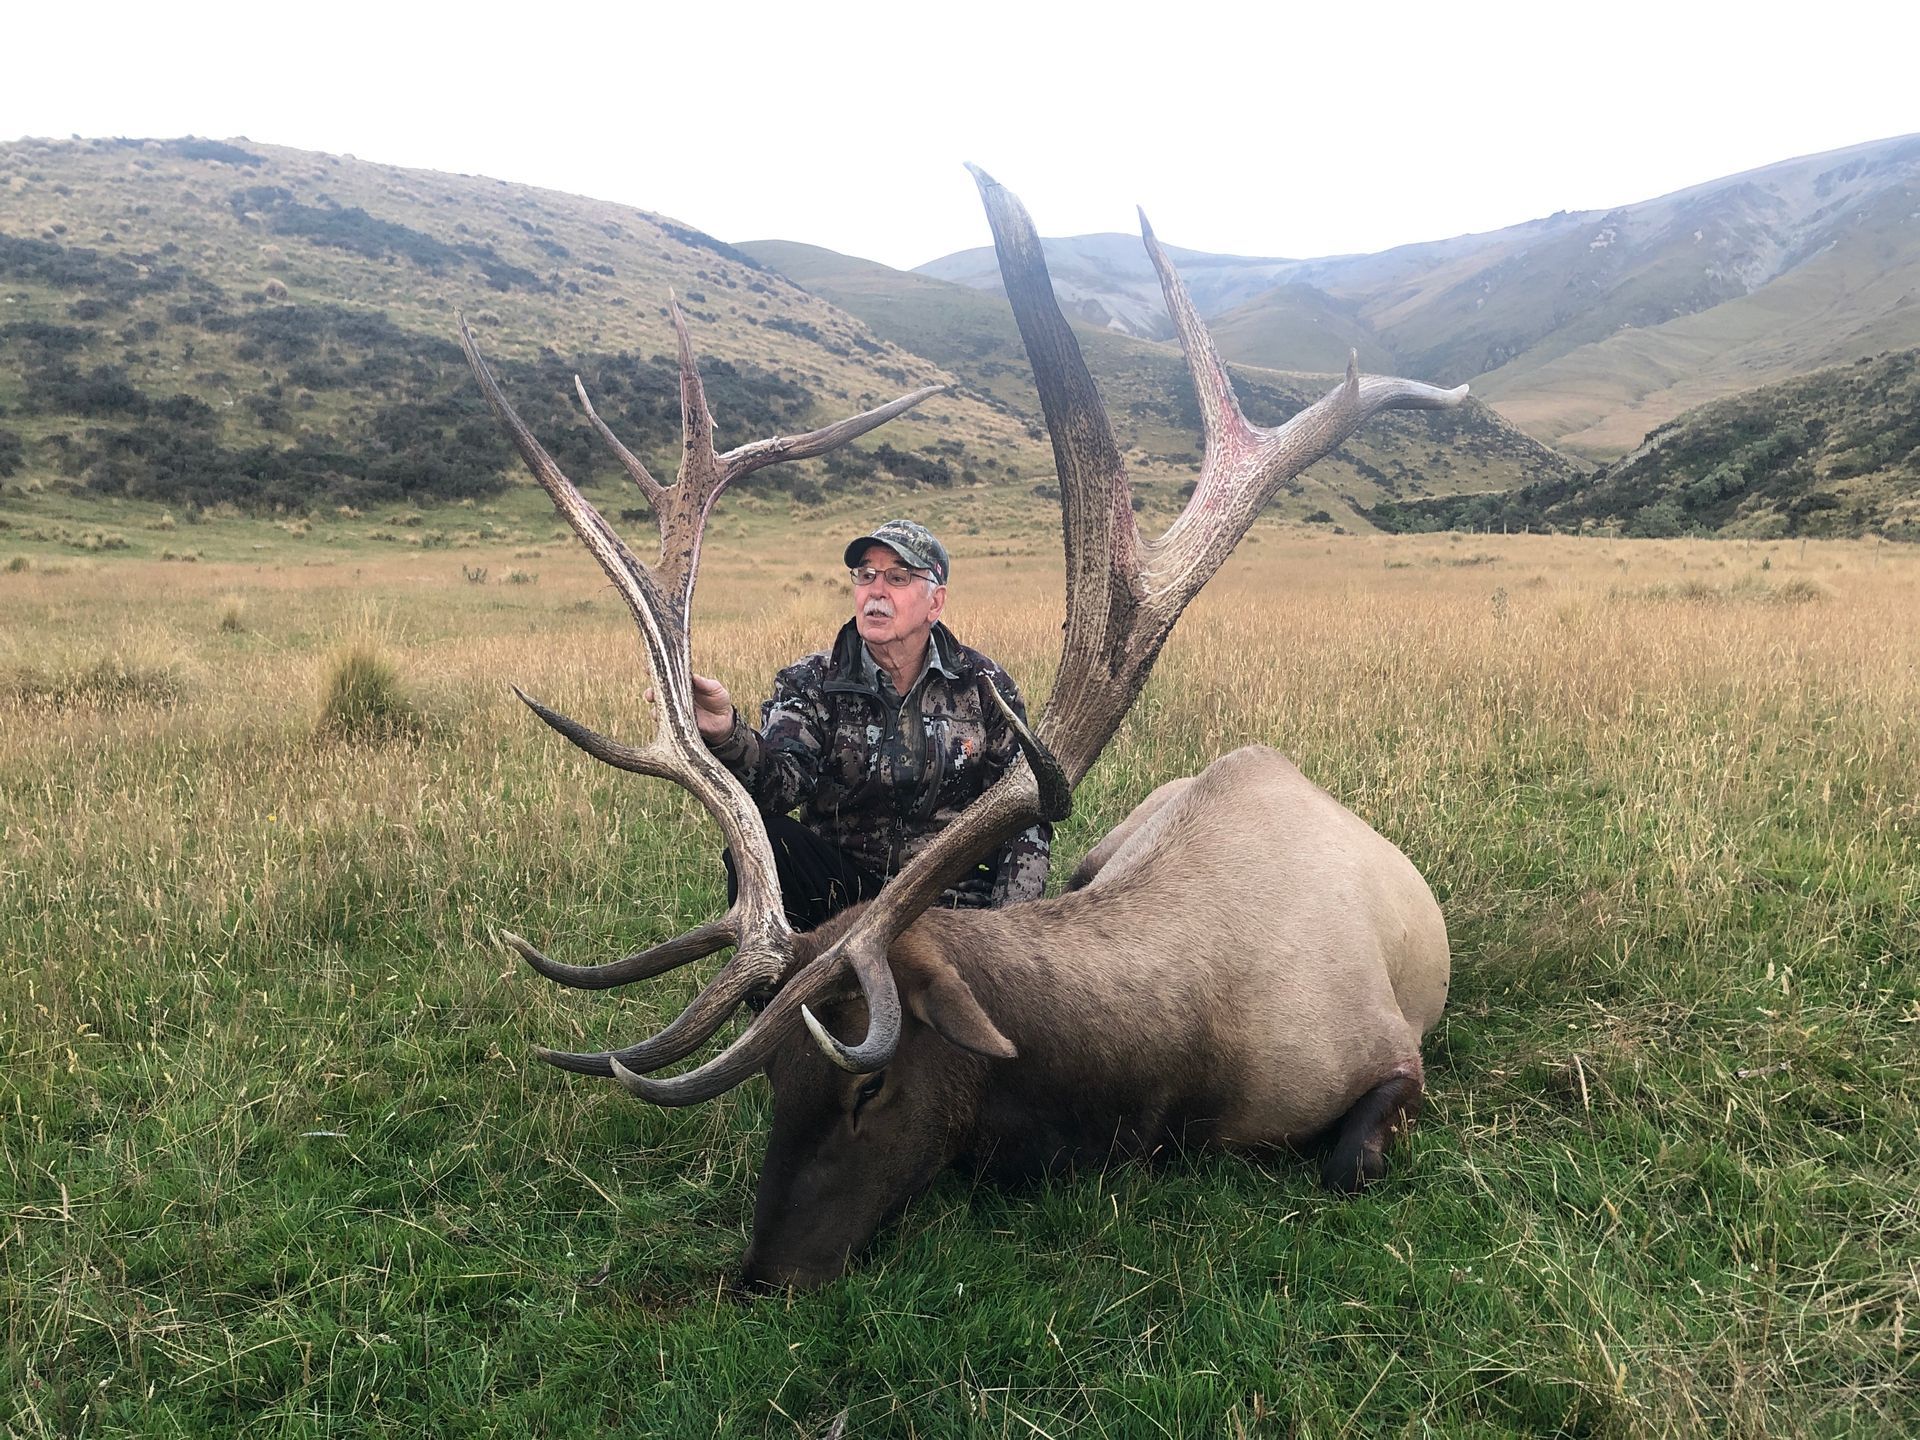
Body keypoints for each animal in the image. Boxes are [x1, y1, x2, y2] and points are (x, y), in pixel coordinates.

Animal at [458, 167, 1466, 1291]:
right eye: (775, 1083)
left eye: (867, 1084)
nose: (762, 1274)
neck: (1173, 1075)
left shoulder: (1391, 1050)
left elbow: (1348, 1161)